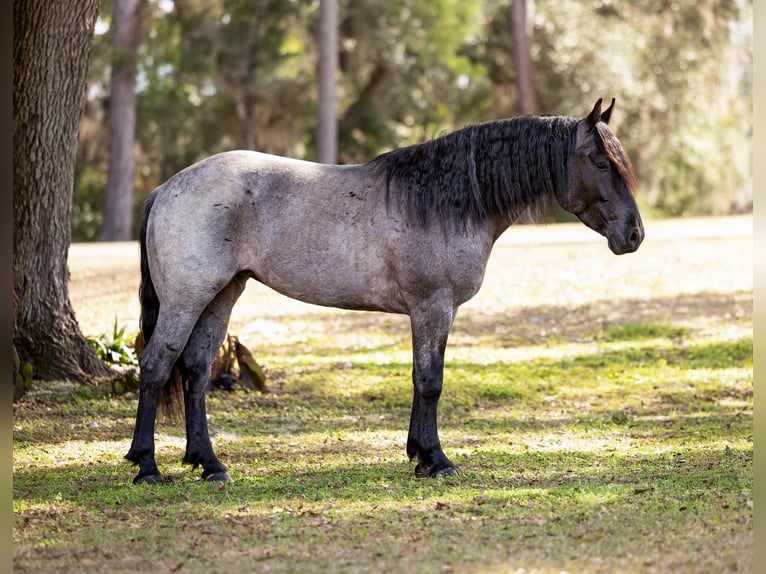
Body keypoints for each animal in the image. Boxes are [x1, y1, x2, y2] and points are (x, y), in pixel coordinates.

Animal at [125, 98, 644, 484]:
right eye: (601, 162)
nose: (634, 235)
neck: (446, 201)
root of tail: (168, 188)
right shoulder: (433, 307)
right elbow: (430, 381)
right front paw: (437, 460)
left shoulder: (432, 312)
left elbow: (421, 379)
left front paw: (420, 455)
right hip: (187, 300)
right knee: (156, 366)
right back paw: (147, 465)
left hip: (221, 295)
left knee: (195, 371)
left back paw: (209, 464)